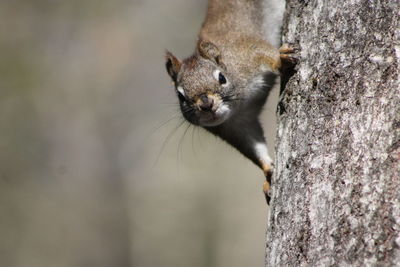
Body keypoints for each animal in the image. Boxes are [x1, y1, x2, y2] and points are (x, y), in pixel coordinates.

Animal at [164, 0, 296, 205]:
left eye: (222, 78)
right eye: (181, 97)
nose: (206, 104)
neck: (239, 107)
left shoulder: (247, 53)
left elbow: (264, 52)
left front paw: (280, 61)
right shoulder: (235, 125)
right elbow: (252, 145)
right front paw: (268, 171)